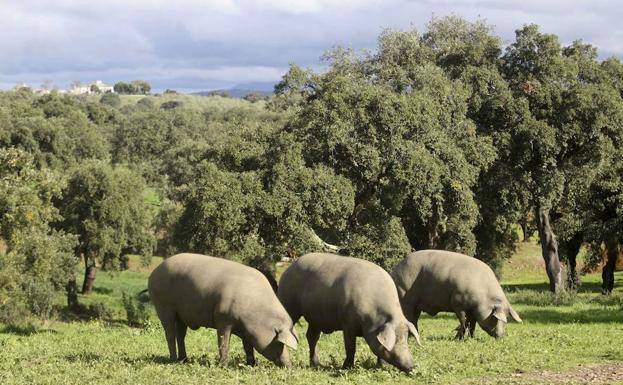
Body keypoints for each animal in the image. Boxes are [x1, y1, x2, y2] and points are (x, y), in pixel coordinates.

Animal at [149, 254, 300, 364]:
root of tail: (153, 273)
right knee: (170, 333)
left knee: (181, 335)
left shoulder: (247, 330)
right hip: (163, 306)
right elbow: (223, 342)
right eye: (279, 343)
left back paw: (184, 360)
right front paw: (223, 365)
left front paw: (252, 364)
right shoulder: (222, 318)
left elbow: (248, 347)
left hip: (182, 315)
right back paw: (173, 359)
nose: (289, 365)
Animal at [280, 252, 422, 372]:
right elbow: (350, 347)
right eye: (397, 340)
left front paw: (381, 366)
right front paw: (346, 368)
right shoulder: (348, 323)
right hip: (288, 302)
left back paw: (317, 365)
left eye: (406, 339)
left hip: (316, 317)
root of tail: (290, 267)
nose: (412, 366)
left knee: (312, 336)